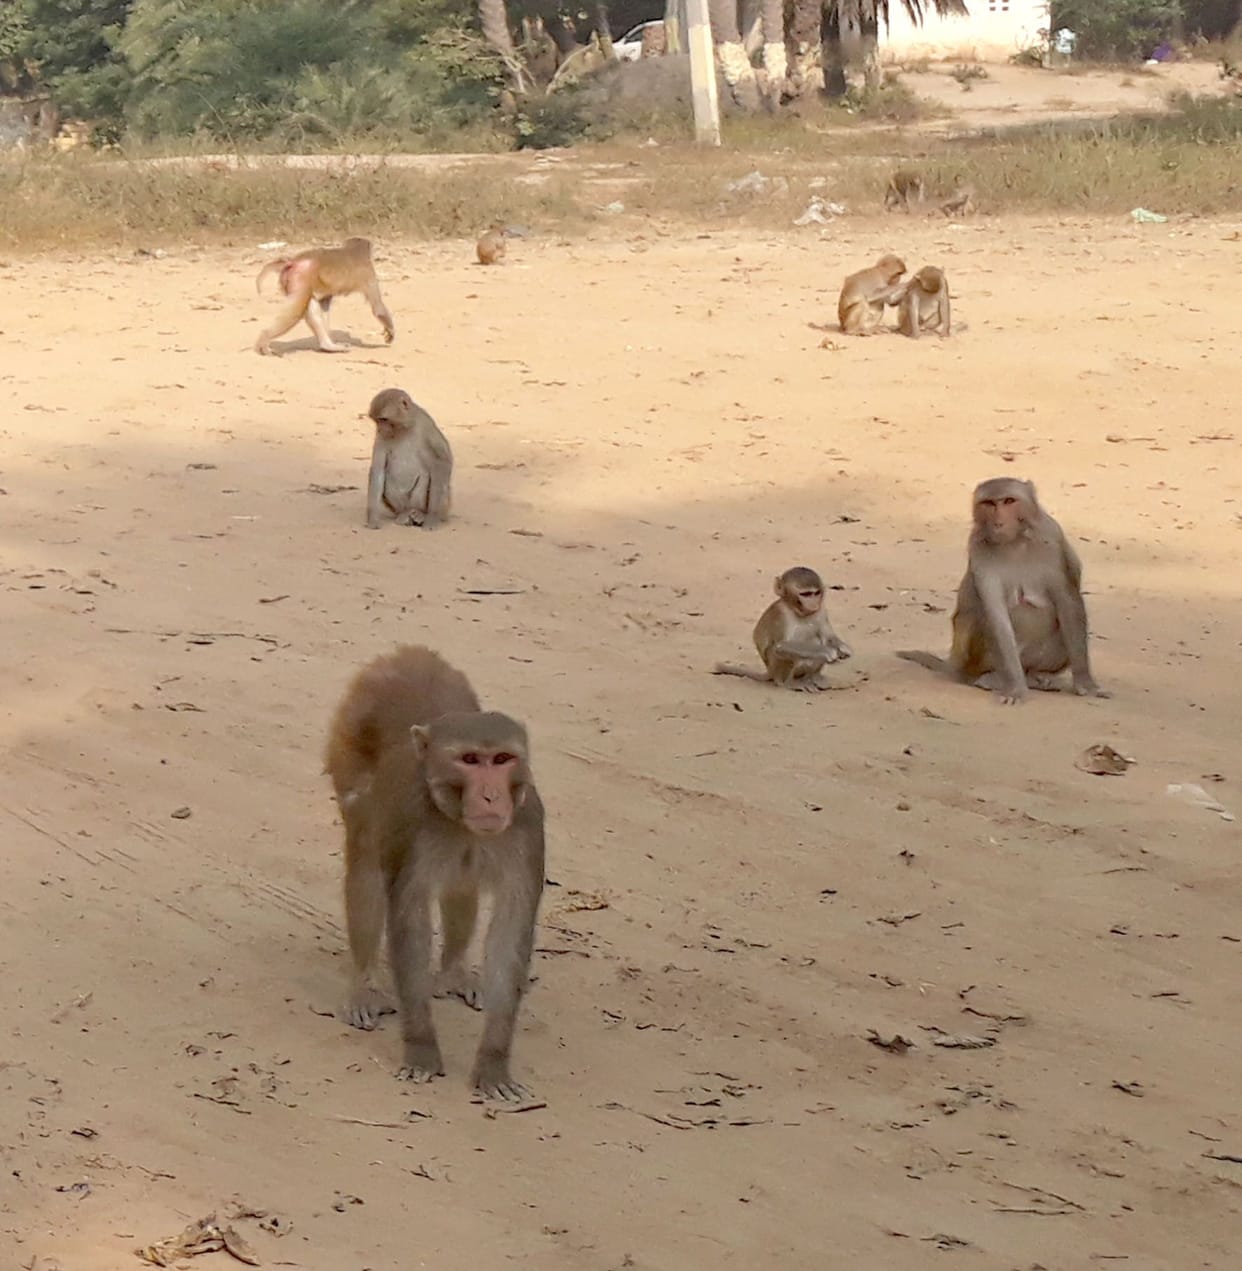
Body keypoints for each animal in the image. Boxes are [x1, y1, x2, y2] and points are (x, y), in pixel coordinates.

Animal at [254, 236, 394, 356]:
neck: (353, 250)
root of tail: (293, 261)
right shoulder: (368, 273)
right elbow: (378, 309)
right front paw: (391, 333)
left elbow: (324, 305)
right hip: (300, 278)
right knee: (295, 311)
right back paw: (264, 338)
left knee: (310, 306)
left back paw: (328, 346)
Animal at [325, 645, 546, 1101]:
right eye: (470, 760)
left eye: (502, 759)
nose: (490, 796)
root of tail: (406, 656)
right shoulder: (412, 825)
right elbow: (410, 923)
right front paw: (422, 1048)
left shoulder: (527, 826)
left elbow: (510, 931)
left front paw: (494, 1063)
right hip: (348, 742)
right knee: (366, 866)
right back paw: (365, 985)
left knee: (462, 886)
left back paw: (455, 971)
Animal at [365, 389, 453, 530]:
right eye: (376, 421)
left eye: (384, 419)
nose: (379, 428)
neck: (404, 427)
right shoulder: (382, 436)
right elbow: (378, 469)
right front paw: (373, 518)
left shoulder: (425, 424)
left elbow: (441, 460)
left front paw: (432, 517)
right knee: (388, 478)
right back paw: (404, 514)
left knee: (426, 477)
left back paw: (420, 513)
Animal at [713, 567, 852, 692]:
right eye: (805, 594)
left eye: (816, 593)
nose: (813, 604)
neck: (797, 611)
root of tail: (769, 671)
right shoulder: (781, 614)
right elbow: (781, 646)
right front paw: (826, 650)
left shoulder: (821, 610)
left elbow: (828, 637)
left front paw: (843, 648)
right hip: (777, 669)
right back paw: (790, 683)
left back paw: (813, 678)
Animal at [897, 478, 1110, 705]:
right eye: (989, 503)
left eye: (1009, 501)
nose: (998, 522)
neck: (1015, 541)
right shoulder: (978, 548)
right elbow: (995, 614)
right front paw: (1015, 688)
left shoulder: (1052, 537)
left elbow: (1068, 603)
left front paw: (1086, 683)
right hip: (971, 659)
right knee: (978, 618)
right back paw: (993, 678)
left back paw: (1036, 676)